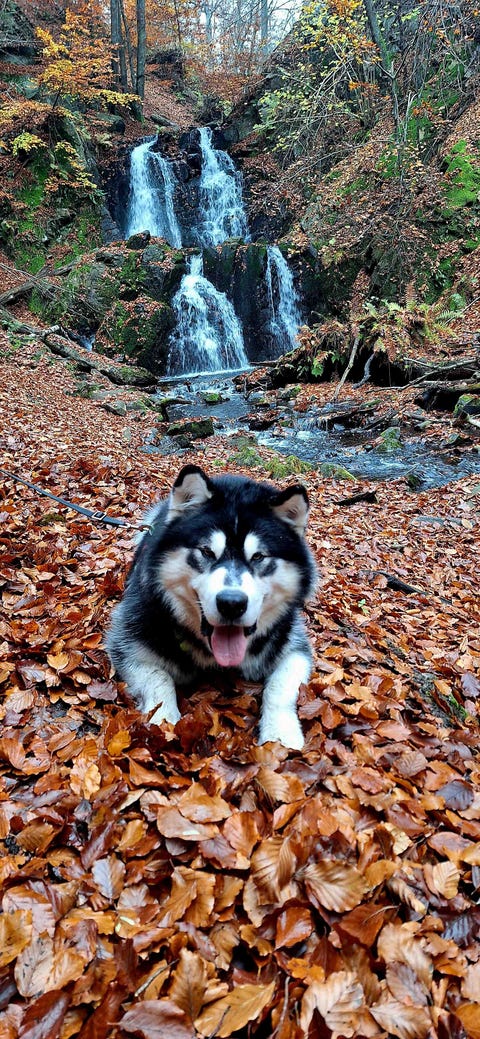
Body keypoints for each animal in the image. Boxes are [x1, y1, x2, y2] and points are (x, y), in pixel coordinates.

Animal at [106, 464, 316, 748]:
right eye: (206, 552)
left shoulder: (294, 646)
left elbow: (280, 686)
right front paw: (163, 719)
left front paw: (280, 733)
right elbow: (158, 678)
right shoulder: (126, 641)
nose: (232, 604)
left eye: (258, 556)